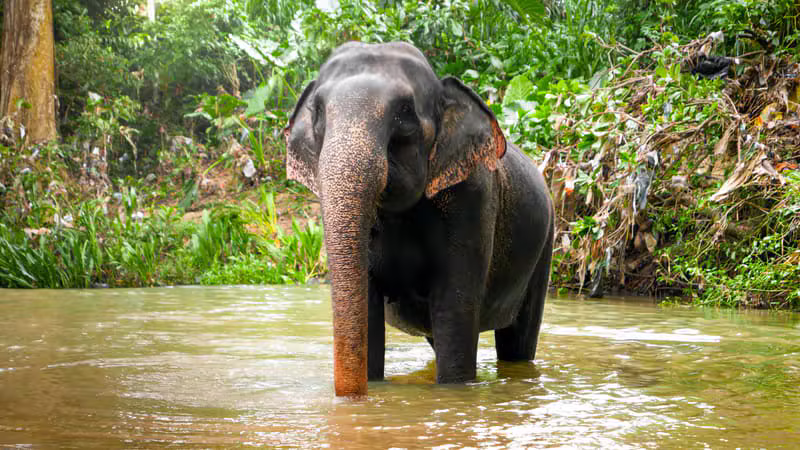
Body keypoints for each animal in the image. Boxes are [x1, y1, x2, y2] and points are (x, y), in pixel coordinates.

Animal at [284, 42, 554, 397]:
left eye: (404, 111)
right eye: (316, 111)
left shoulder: (473, 199)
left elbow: (454, 307)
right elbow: (367, 309)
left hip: (545, 246)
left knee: (518, 340)